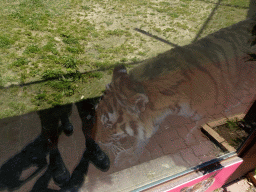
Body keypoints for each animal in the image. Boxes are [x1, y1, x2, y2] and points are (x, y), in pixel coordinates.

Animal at [93, 18, 256, 167]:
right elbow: (142, 139)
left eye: (108, 125)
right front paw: (131, 156)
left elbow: (198, 124)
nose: (97, 141)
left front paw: (190, 138)